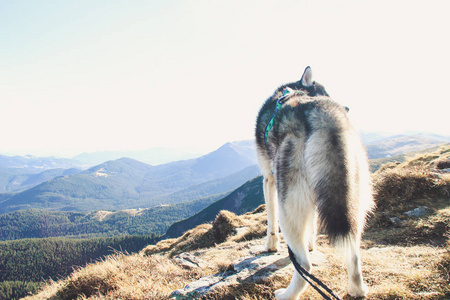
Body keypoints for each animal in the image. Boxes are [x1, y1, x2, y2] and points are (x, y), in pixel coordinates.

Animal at [255, 67, 374, 298]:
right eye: (327, 91)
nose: (347, 107)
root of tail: (323, 115)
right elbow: (313, 224)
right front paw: (311, 244)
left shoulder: (269, 178)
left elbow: (271, 221)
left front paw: (271, 245)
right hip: (354, 199)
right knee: (354, 254)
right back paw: (356, 289)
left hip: (288, 205)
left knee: (304, 265)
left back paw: (285, 295)